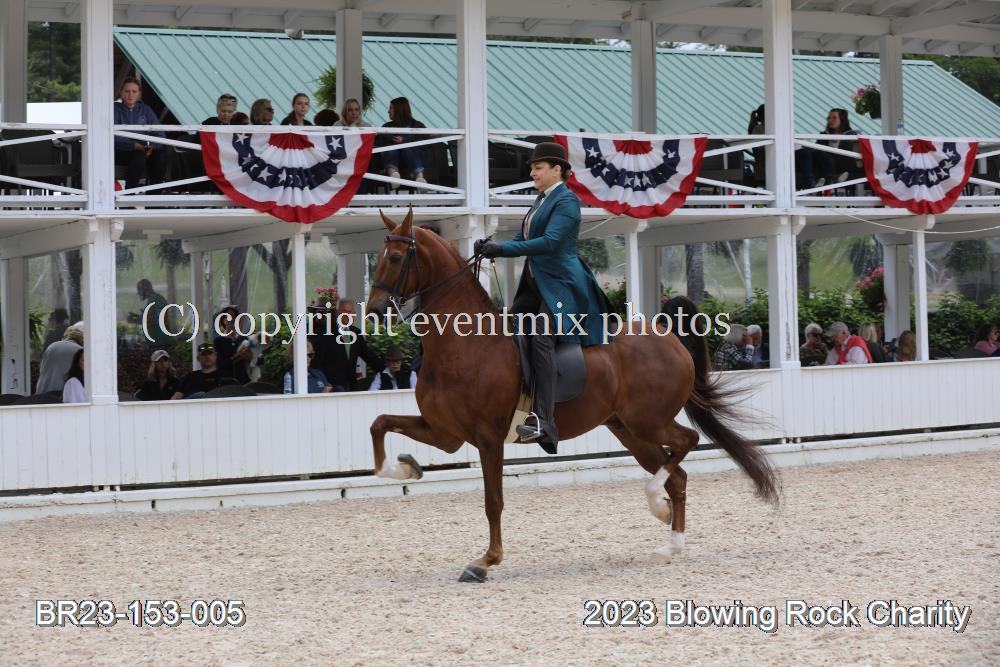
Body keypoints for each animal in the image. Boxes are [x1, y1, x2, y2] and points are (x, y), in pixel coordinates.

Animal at [366, 209, 778, 583]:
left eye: (397, 257)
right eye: (379, 255)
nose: (373, 312)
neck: (465, 343)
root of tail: (668, 335)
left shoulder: (487, 438)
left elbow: (493, 501)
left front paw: (485, 561)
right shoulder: (445, 433)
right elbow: (379, 424)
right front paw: (405, 468)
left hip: (649, 421)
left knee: (687, 442)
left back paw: (657, 507)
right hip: (630, 431)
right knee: (677, 477)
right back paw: (668, 541)